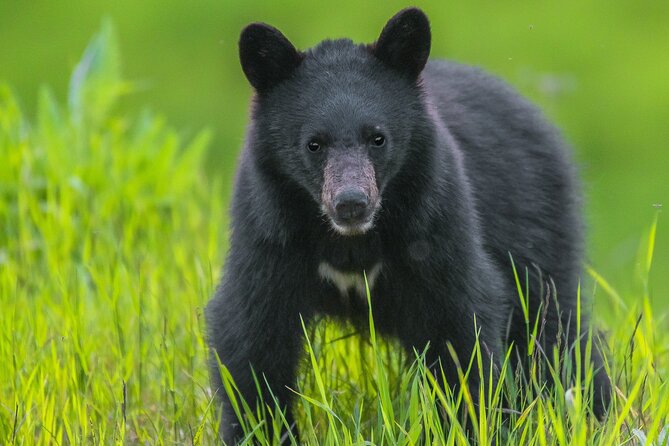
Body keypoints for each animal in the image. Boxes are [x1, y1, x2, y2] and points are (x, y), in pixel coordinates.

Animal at [206, 7, 611, 444]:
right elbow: (251, 333)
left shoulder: (434, 219)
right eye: (313, 144)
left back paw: (593, 410)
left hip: (532, 221)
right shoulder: (269, 229)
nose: (351, 203)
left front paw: (468, 426)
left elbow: (459, 322)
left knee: (555, 328)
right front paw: (258, 430)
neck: (351, 242)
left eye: (378, 138)